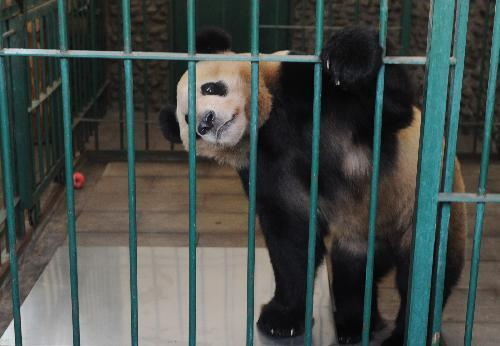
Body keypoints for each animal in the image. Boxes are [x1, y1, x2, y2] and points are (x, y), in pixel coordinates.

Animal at [158, 27, 466, 346]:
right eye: (187, 120)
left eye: (209, 89)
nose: (206, 122)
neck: (269, 119)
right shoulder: (263, 165)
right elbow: (291, 235)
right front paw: (282, 319)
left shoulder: (304, 86)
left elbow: (391, 109)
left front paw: (351, 55)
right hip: (360, 235)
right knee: (351, 273)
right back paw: (354, 324)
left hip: (421, 211)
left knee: (427, 271)